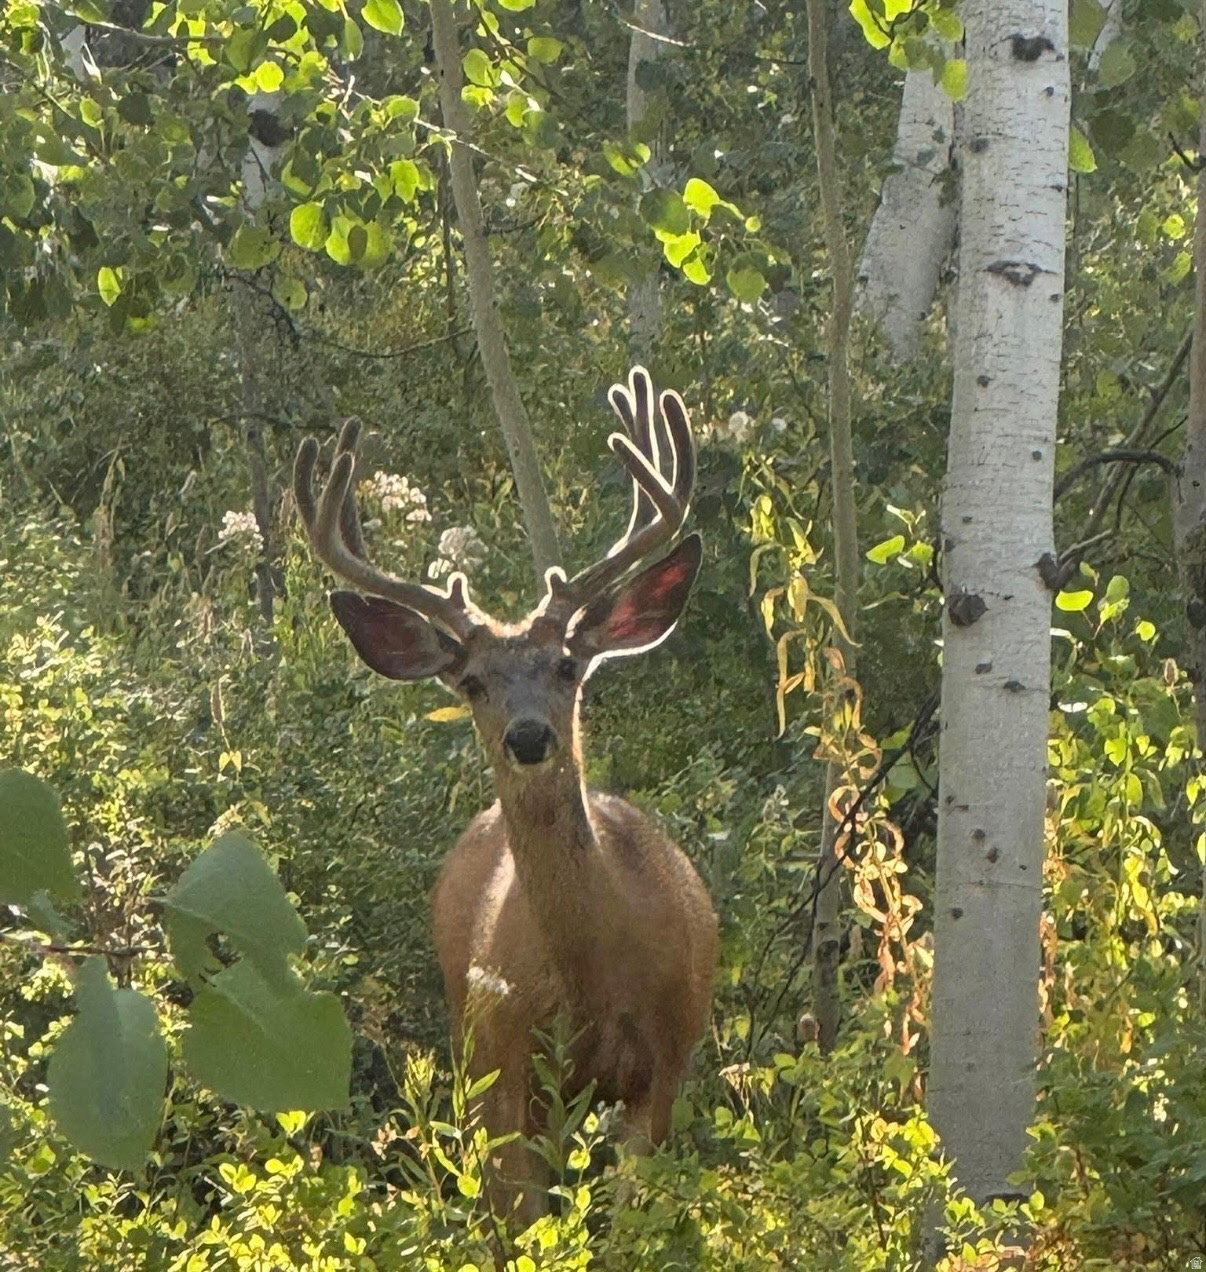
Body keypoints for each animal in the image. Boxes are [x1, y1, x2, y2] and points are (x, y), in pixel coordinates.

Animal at [293, 367, 718, 1224]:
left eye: (567, 665)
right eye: (473, 682)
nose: (528, 737)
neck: (596, 976)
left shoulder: (665, 1059)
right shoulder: (512, 1058)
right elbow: (526, 1220)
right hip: (471, 1042)